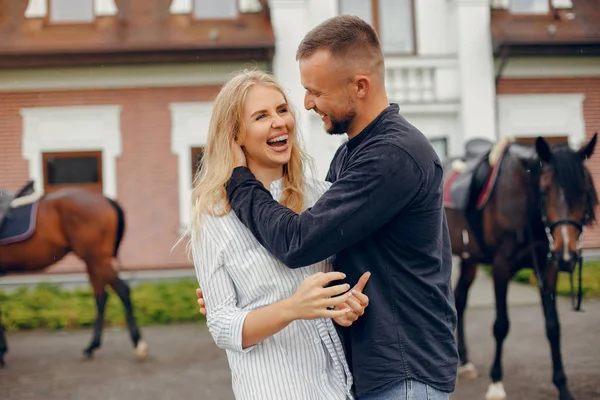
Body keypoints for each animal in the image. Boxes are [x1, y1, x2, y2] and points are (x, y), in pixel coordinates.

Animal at [0, 186, 148, 368]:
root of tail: (105, 199)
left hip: (97, 260)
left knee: (122, 290)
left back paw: (138, 344)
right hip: (93, 262)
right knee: (101, 297)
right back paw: (91, 347)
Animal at [446, 135, 596, 400]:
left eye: (584, 191)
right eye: (544, 191)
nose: (567, 255)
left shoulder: (548, 268)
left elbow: (553, 326)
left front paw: (563, 386)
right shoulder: (501, 266)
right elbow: (501, 325)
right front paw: (496, 383)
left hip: (470, 257)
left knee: (461, 299)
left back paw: (465, 362)